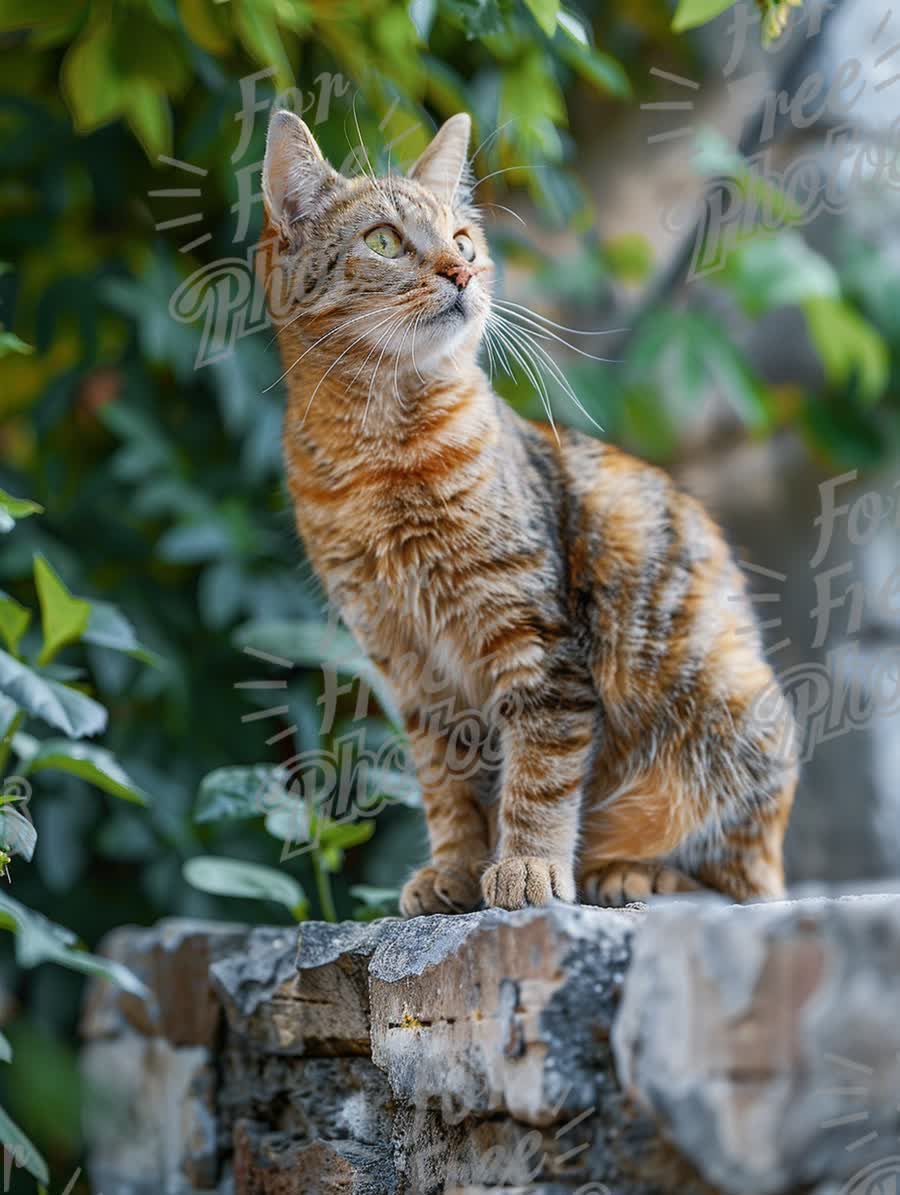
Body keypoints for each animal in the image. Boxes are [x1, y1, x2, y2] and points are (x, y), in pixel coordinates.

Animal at [258, 109, 793, 912]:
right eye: (383, 240)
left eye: (463, 241)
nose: (461, 274)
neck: (381, 457)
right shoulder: (409, 665)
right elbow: (448, 789)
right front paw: (453, 871)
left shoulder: (538, 643)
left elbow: (539, 777)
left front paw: (527, 866)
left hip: (730, 705)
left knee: (735, 874)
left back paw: (630, 871)